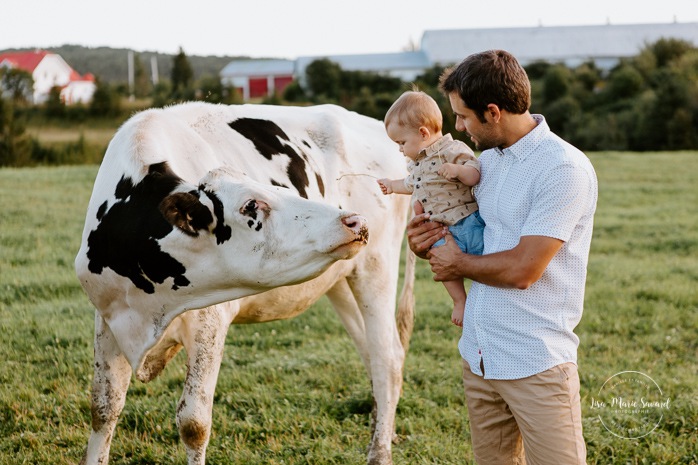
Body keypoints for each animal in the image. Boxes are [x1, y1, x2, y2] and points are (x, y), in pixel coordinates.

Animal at [75, 101, 414, 464]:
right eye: (251, 204)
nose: (352, 220)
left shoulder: (209, 322)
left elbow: (193, 423)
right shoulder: (108, 317)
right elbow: (103, 408)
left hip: (376, 267)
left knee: (387, 359)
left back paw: (380, 451)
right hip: (341, 280)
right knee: (372, 354)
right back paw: (383, 431)